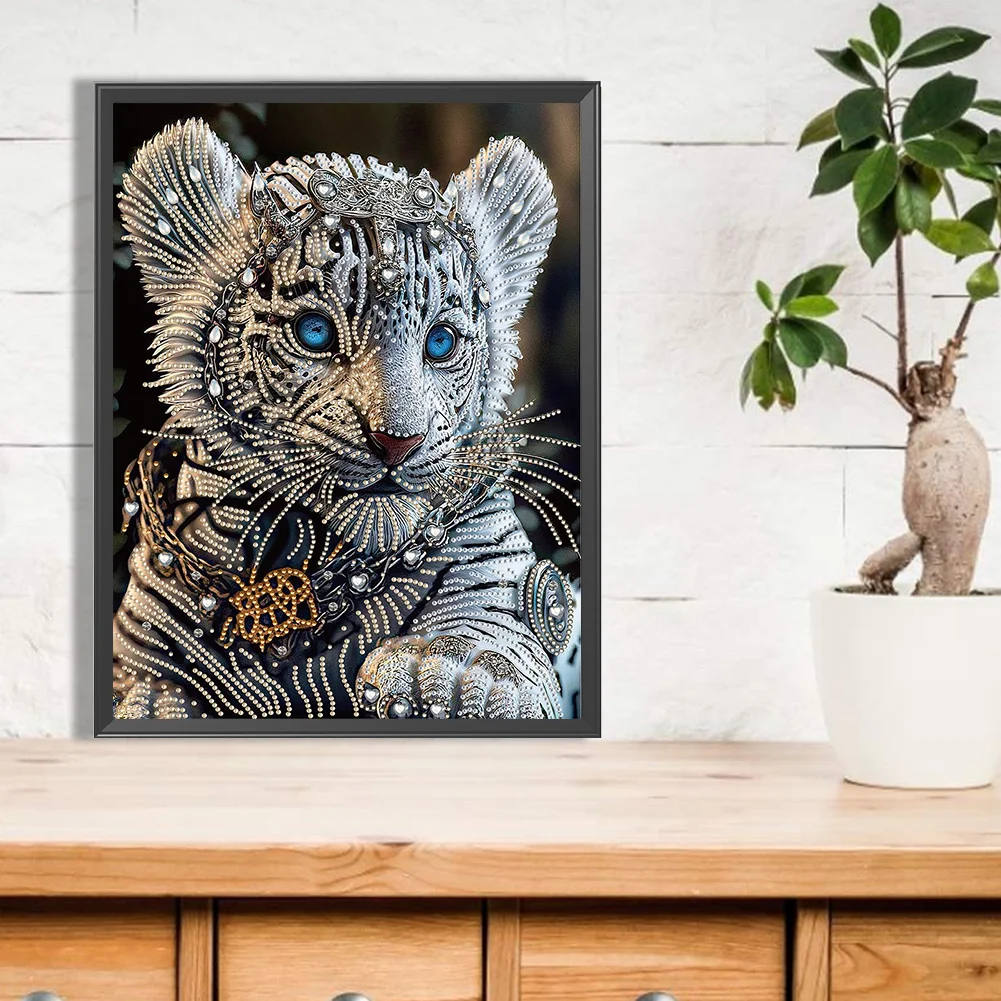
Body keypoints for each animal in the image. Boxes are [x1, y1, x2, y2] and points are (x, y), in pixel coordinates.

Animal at [112, 117, 579, 722]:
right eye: (314, 332)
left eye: (441, 342)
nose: (397, 442)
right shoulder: (147, 663)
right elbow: (155, 700)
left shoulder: (497, 587)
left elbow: (492, 641)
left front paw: (447, 677)